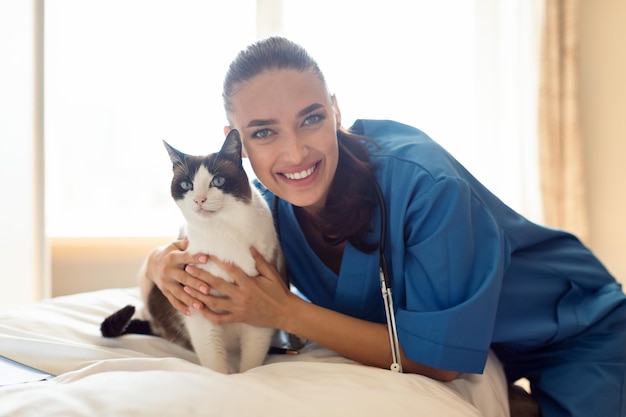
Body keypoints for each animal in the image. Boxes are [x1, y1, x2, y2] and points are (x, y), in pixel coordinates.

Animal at [101, 128, 284, 372]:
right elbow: (215, 363)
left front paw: (247, 376)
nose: (199, 199)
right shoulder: (196, 307)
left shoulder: (260, 310)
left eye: (218, 181)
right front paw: (225, 378)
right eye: (187, 185)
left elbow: (251, 364)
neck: (222, 231)